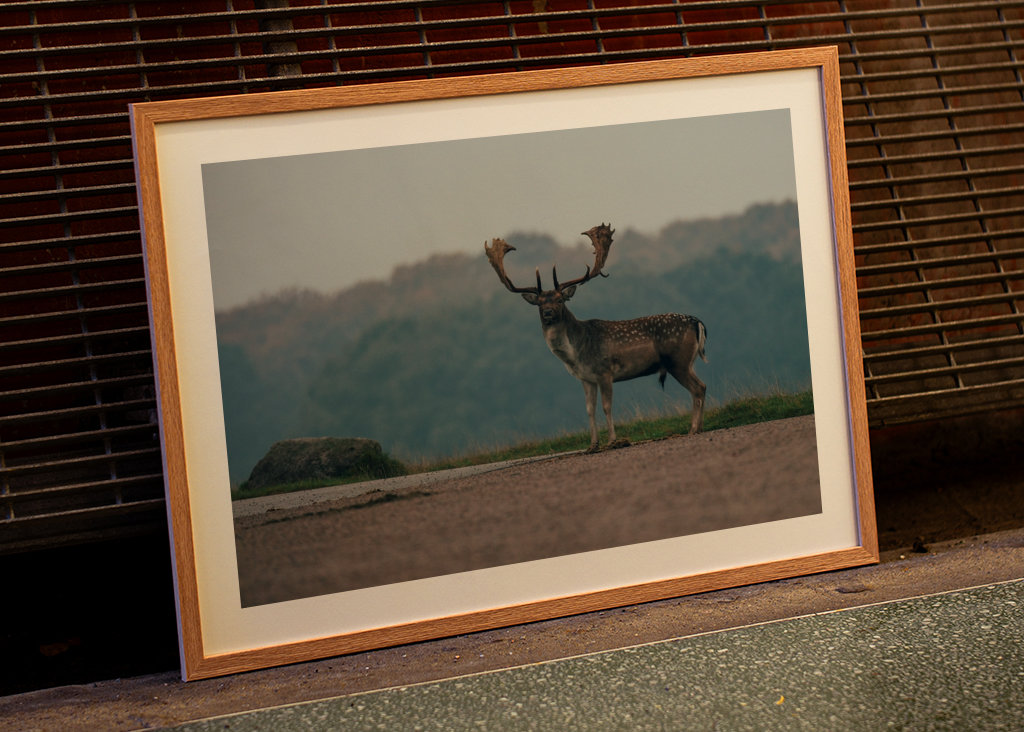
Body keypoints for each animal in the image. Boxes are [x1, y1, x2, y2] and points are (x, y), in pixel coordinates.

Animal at [485, 223, 707, 453]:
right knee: (701, 387)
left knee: (698, 388)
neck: (576, 354)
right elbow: (589, 409)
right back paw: (698, 427)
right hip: (687, 362)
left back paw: (693, 429)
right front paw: (592, 445)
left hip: (677, 361)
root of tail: (697, 322)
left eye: (560, 299)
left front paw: (613, 441)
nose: (547, 313)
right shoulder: (586, 378)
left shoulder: (605, 372)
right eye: (539, 302)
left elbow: (606, 407)